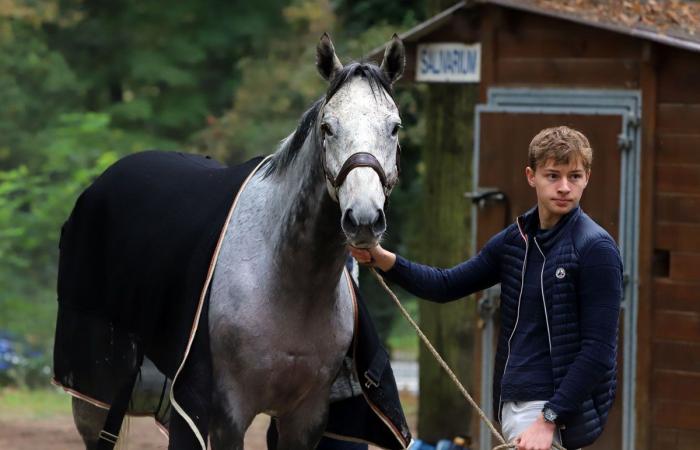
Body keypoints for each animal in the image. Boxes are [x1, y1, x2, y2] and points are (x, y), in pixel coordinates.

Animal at [69, 35, 404, 450]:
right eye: (328, 127)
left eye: (394, 127)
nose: (363, 219)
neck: (285, 279)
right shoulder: (228, 414)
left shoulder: (305, 418)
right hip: (92, 397)